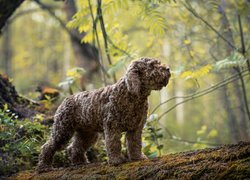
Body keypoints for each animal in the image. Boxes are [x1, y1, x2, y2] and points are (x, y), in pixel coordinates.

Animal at [36, 57, 170, 172]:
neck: (132, 96)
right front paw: (116, 160)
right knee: (48, 146)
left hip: (88, 134)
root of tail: (66, 99)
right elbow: (114, 144)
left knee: (74, 147)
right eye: (152, 65)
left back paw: (80, 162)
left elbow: (135, 144)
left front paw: (138, 157)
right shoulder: (112, 127)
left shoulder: (135, 128)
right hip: (63, 131)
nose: (168, 69)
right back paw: (44, 167)